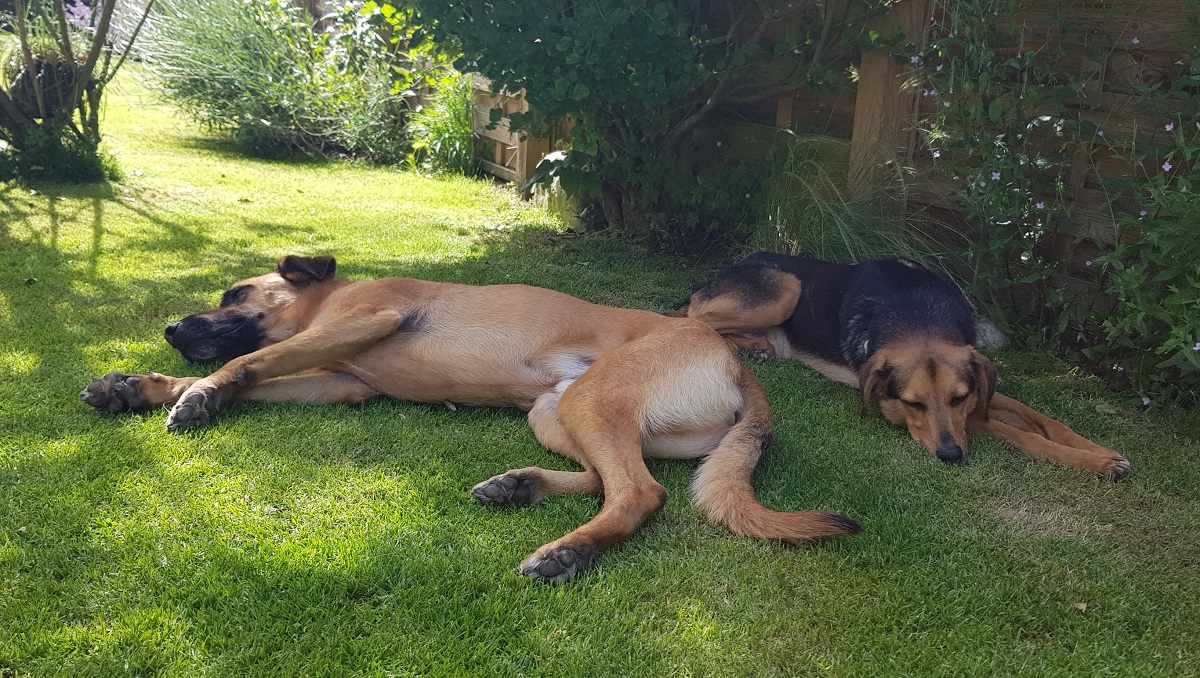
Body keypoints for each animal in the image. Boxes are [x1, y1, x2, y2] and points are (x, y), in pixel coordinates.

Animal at [79, 255, 859, 580]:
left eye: (236, 293)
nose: (173, 328)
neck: (329, 298)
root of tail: (738, 363)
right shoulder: (340, 381)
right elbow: (260, 373)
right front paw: (140, 387)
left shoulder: (365, 322)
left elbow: (251, 362)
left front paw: (200, 393)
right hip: (555, 411)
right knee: (612, 478)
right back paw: (522, 486)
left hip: (589, 399)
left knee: (642, 492)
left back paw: (569, 551)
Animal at [686, 252, 1132, 475]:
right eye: (912, 404)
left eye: (958, 398)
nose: (950, 456)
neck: (916, 318)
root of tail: (719, 272)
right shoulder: (972, 418)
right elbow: (1022, 434)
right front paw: (1093, 462)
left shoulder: (979, 392)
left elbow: (1046, 421)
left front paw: (1101, 452)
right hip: (786, 287)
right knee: (693, 317)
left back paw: (759, 345)